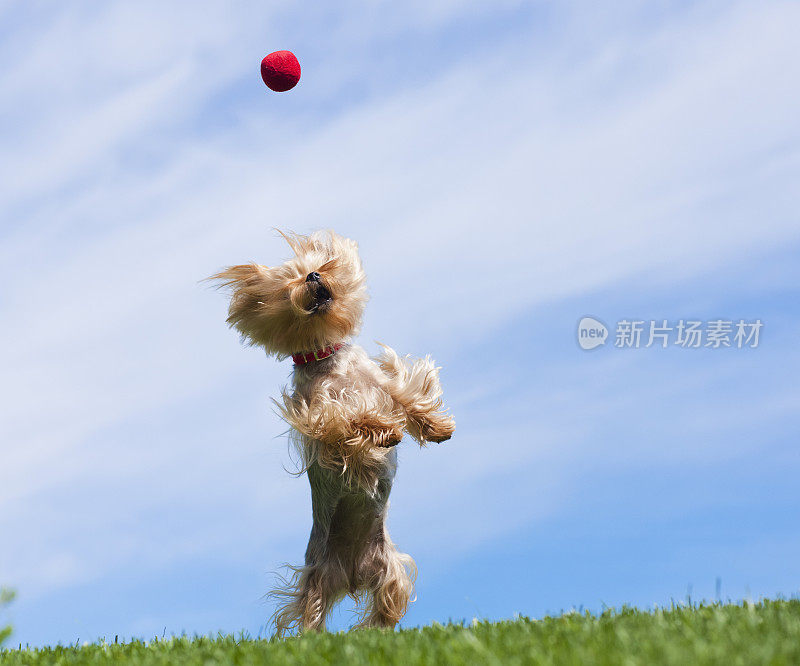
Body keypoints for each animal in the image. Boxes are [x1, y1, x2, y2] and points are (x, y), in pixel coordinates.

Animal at [209, 232, 454, 632]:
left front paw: (436, 428)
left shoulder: (383, 385)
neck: (326, 358)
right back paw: (317, 636)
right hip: (318, 578)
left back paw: (378, 631)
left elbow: (407, 397)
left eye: (318, 266)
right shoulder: (318, 416)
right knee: (311, 611)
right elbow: (348, 421)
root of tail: (353, 577)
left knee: (388, 600)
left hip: (390, 570)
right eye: (287, 286)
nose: (312, 277)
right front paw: (384, 432)